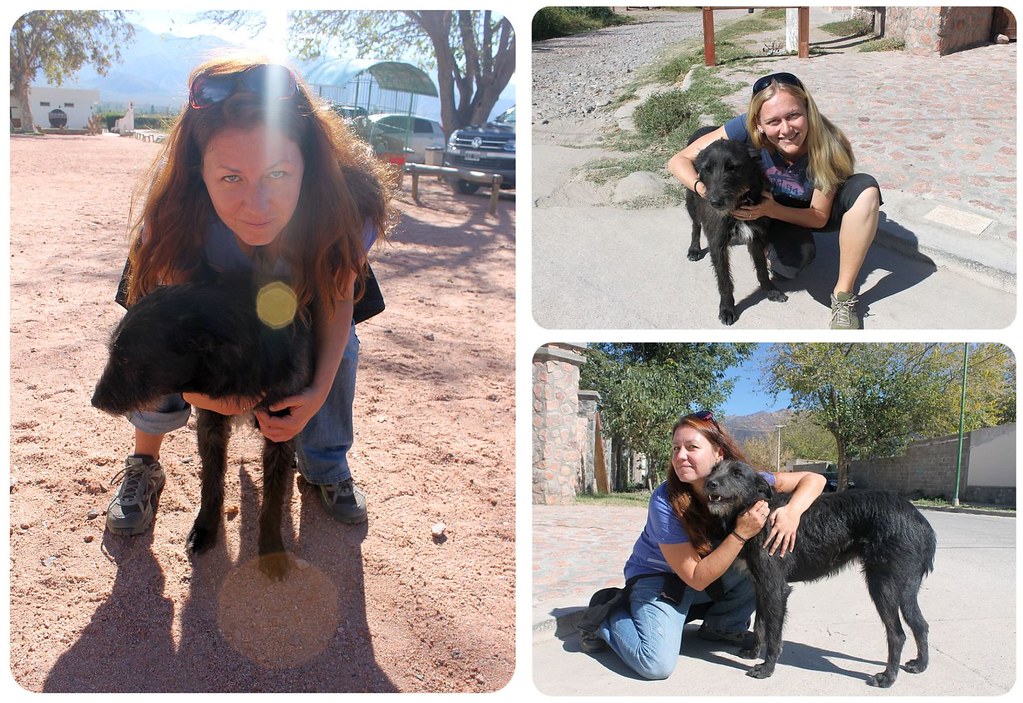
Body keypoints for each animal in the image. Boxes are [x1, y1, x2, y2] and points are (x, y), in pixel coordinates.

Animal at [92, 272, 315, 581]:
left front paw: (271, 549)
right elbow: (211, 481)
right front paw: (206, 529)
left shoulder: (280, 427)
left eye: (125, 358)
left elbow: (272, 498)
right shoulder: (210, 424)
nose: (95, 401)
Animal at [687, 125, 789, 325]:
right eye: (707, 169)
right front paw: (727, 308)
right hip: (691, 201)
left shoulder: (756, 236)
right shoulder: (717, 243)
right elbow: (724, 280)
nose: (715, 202)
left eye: (733, 168)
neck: (739, 203)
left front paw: (770, 290)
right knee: (696, 225)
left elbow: (761, 269)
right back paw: (694, 249)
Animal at [703, 458, 937, 691]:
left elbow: (773, 634)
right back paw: (920, 664)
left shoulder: (776, 589)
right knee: (920, 624)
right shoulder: (760, 586)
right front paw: (753, 653)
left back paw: (887, 678)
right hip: (906, 587)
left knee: (897, 634)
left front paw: (767, 669)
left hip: (883, 586)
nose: (709, 484)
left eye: (737, 473)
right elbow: (760, 624)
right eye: (713, 469)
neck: (758, 509)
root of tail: (922, 522)